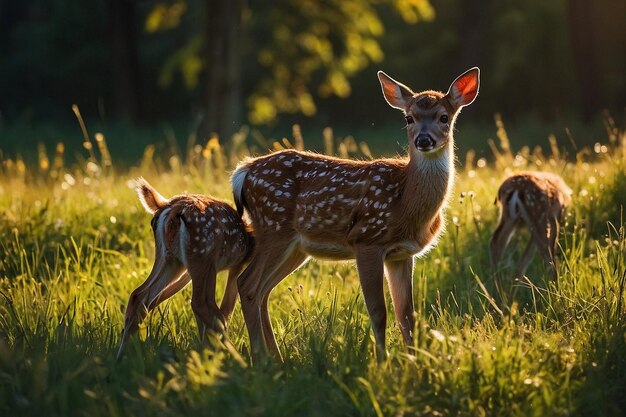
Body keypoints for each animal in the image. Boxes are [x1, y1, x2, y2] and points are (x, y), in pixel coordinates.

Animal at [117, 177, 254, 360]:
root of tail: (173, 207)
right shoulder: (237, 264)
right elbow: (227, 307)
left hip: (171, 259)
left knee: (139, 296)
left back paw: (120, 357)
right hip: (203, 256)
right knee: (202, 304)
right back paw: (234, 356)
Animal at [232, 66, 480, 360]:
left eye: (444, 117)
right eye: (409, 117)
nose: (423, 139)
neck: (405, 202)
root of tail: (243, 171)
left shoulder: (401, 254)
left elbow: (406, 314)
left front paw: (413, 360)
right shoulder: (366, 239)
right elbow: (379, 311)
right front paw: (383, 361)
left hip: (295, 247)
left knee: (263, 290)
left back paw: (276, 359)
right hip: (273, 228)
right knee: (248, 285)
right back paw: (260, 358)